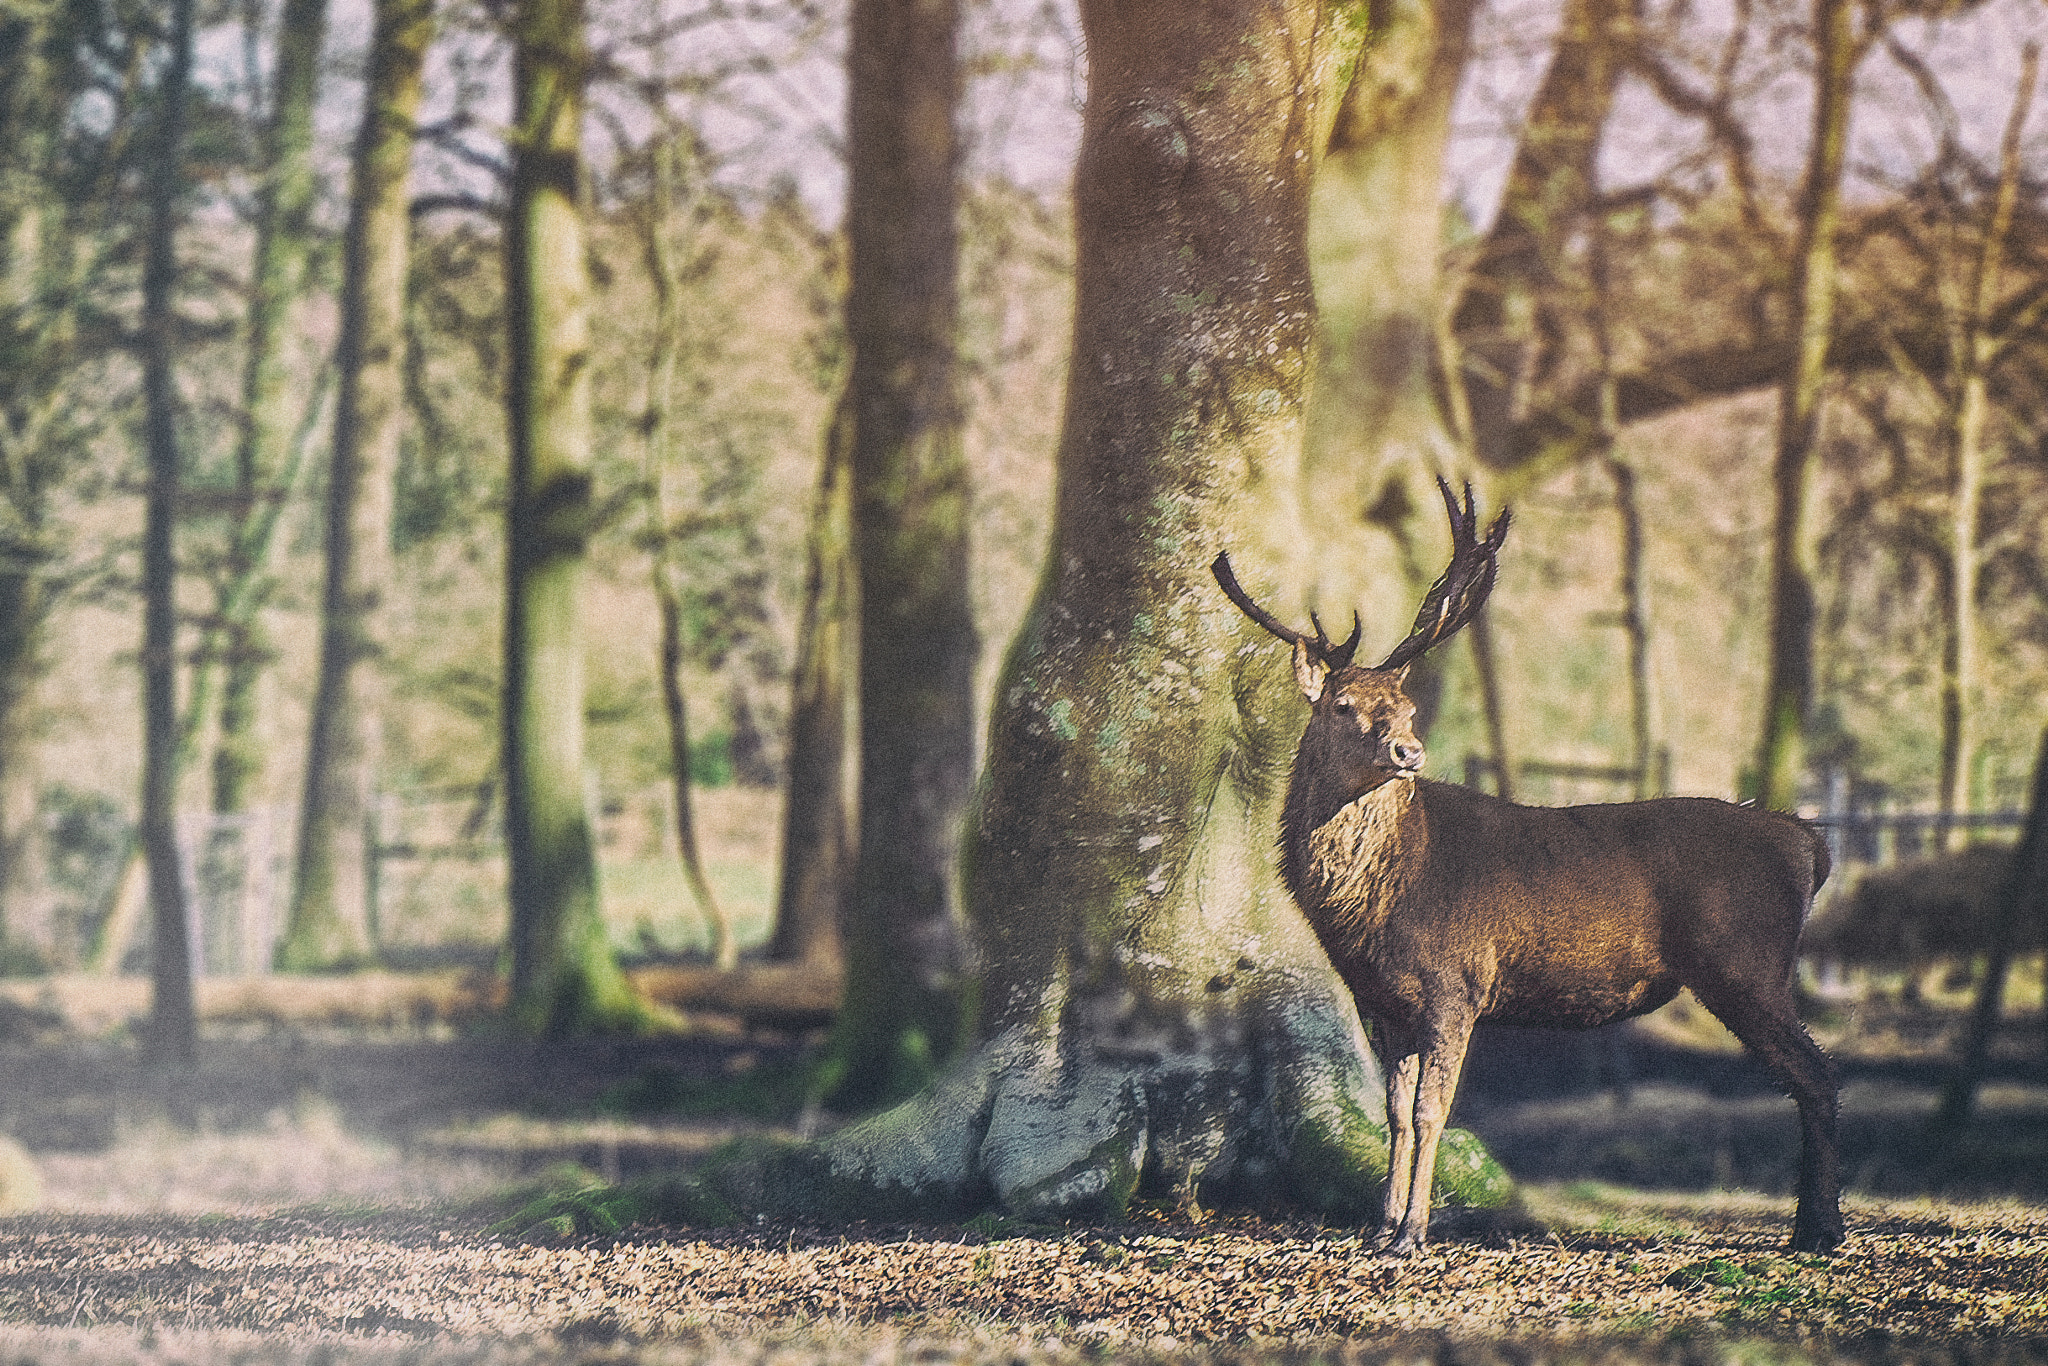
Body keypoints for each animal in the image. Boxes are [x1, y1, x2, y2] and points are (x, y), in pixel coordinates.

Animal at [1213, 479, 1843, 1256]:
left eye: (1407, 706)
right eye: (1342, 704)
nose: (1408, 752)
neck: (1375, 905)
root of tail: (1809, 843)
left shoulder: (1455, 982)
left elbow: (1432, 1112)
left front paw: (1413, 1231)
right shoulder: (1379, 999)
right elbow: (1393, 1112)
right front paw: (1381, 1222)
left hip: (1745, 963)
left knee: (1817, 1073)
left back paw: (1820, 1228)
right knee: (1810, 1074)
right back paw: (1814, 1224)